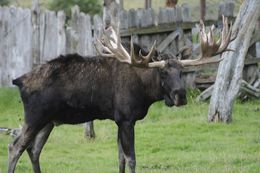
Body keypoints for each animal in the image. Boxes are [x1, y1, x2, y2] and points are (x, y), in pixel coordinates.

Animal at [7, 16, 236, 173]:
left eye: (181, 71)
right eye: (162, 72)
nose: (180, 96)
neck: (146, 91)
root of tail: (18, 81)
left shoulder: (120, 120)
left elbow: (121, 158)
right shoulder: (126, 119)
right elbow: (131, 158)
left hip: (49, 121)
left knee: (33, 150)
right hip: (35, 117)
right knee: (15, 146)